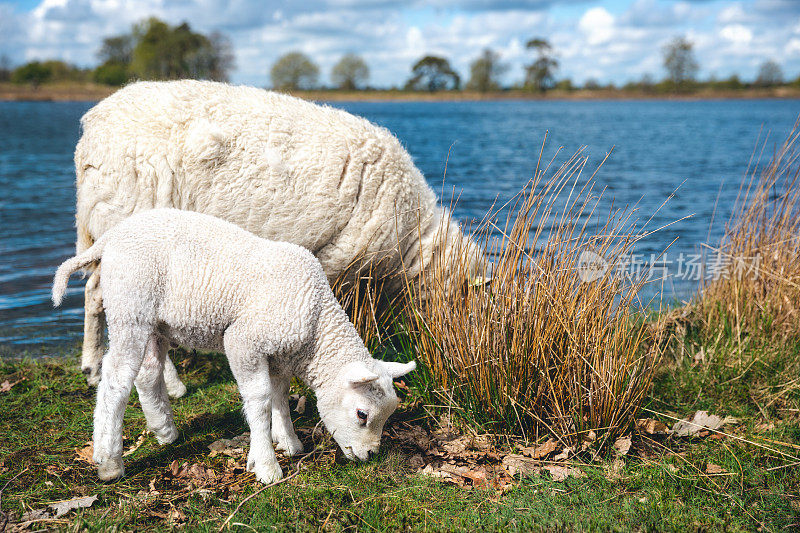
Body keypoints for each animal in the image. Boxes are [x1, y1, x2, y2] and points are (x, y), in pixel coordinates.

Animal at [50, 208, 416, 482]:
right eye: (362, 414)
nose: (370, 455)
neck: (315, 320)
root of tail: (111, 236)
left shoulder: (279, 353)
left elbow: (280, 395)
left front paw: (288, 441)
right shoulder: (244, 341)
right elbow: (260, 399)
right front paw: (266, 464)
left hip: (154, 320)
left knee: (148, 371)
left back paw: (165, 429)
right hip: (130, 306)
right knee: (117, 378)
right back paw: (109, 461)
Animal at [72, 80, 478, 394]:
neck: (411, 242)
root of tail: (92, 128)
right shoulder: (340, 263)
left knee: (94, 293)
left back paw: (93, 368)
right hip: (129, 224)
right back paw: (160, 382)